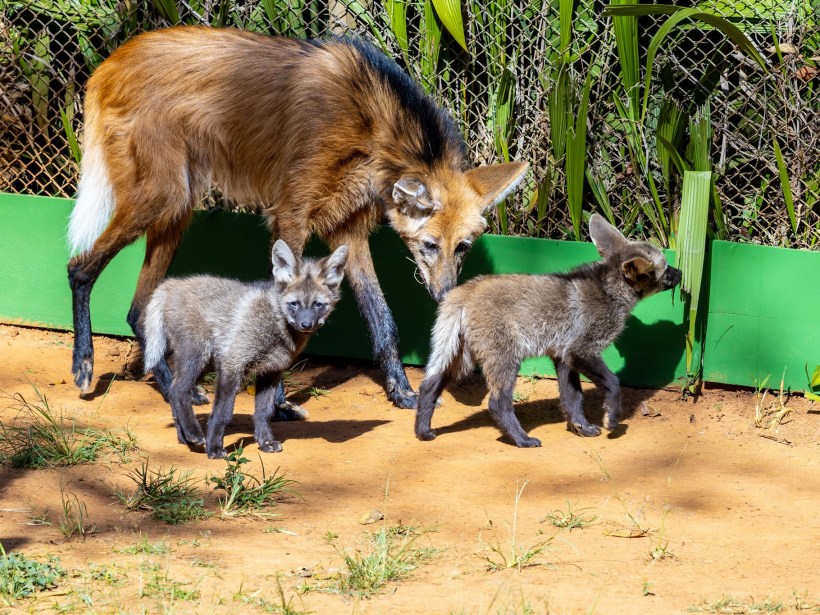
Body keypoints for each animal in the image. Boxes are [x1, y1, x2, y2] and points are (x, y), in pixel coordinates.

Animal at [66, 26, 528, 412]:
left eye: (462, 248)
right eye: (429, 246)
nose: (445, 293)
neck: (371, 130)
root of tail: (110, 61)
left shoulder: (348, 231)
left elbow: (383, 320)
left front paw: (402, 393)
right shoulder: (290, 215)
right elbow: (284, 315)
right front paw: (277, 402)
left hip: (177, 208)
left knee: (137, 309)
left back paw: (174, 389)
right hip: (161, 197)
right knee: (79, 267)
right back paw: (84, 365)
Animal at [141, 240, 347, 458]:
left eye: (318, 305)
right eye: (294, 304)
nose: (306, 325)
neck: (274, 324)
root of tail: (172, 283)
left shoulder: (271, 372)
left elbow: (263, 413)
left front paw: (266, 442)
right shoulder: (232, 365)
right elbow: (223, 413)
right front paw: (214, 448)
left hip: (204, 364)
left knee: (174, 392)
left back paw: (184, 437)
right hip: (197, 357)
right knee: (178, 391)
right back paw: (193, 433)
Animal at [414, 214, 682, 447]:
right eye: (665, 268)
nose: (680, 272)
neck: (609, 292)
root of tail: (463, 292)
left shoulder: (564, 357)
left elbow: (572, 399)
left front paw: (581, 427)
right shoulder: (582, 351)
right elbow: (614, 383)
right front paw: (612, 419)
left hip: (460, 359)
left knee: (428, 387)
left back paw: (422, 431)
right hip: (504, 360)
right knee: (497, 403)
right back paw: (521, 440)